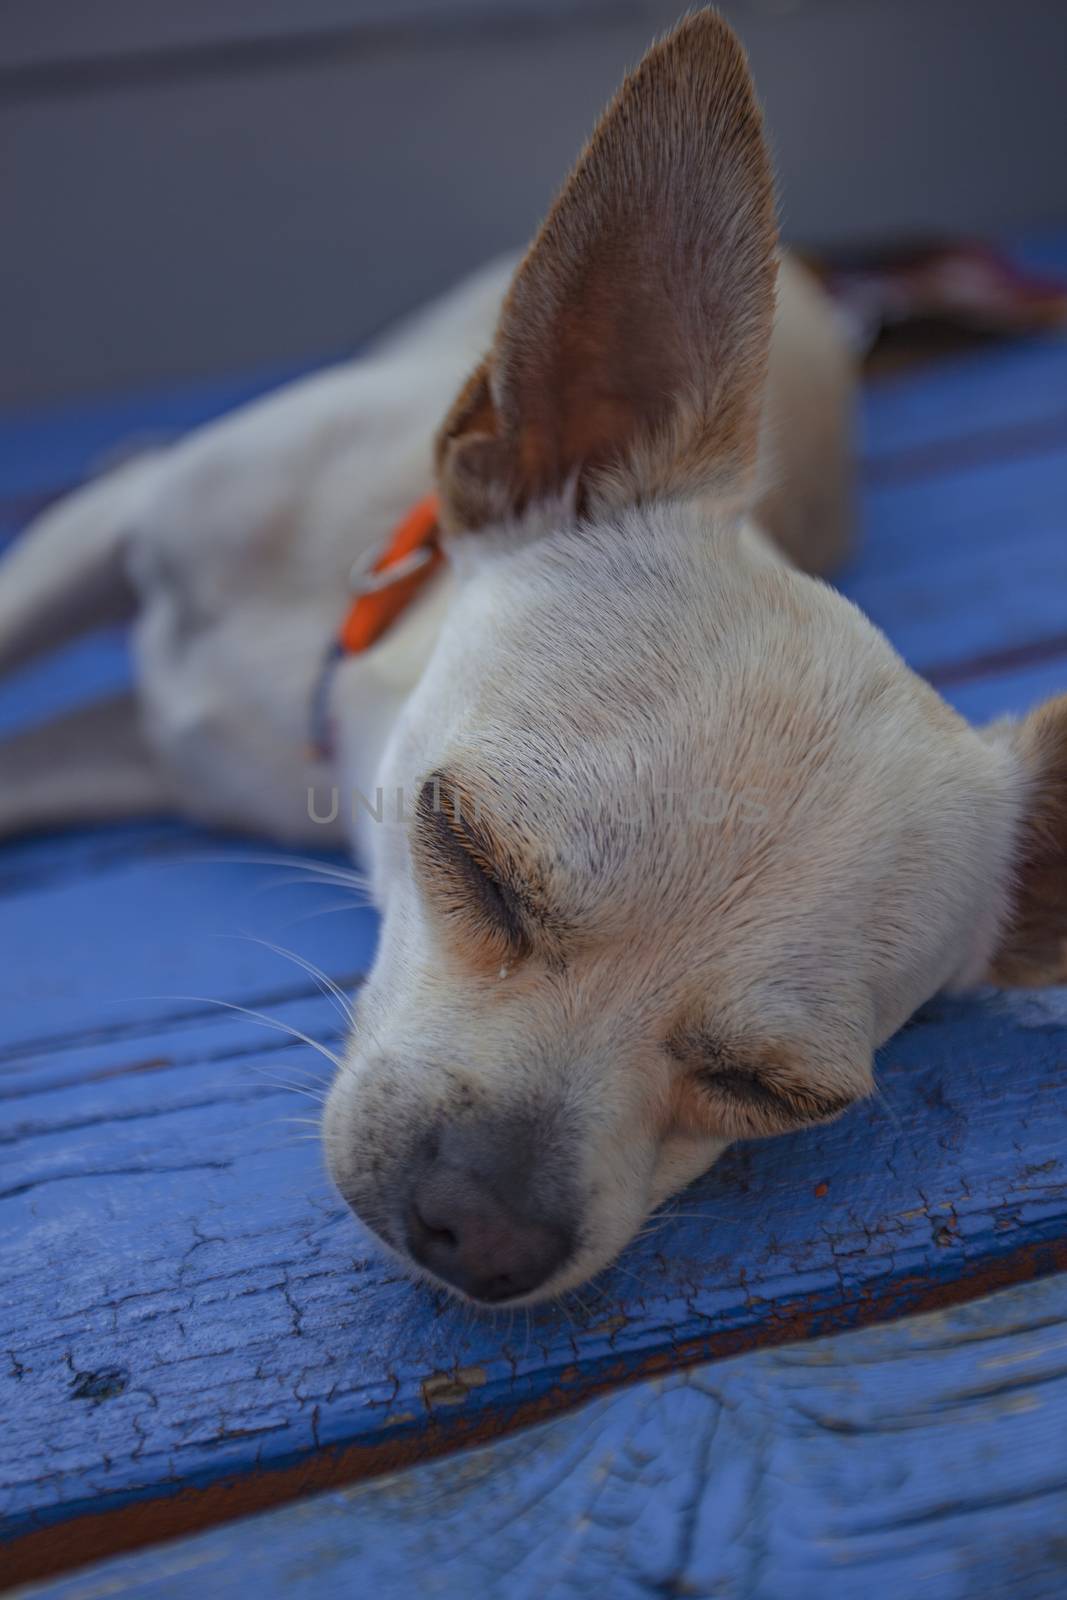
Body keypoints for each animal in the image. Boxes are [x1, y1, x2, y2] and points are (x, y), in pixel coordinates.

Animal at [2, 12, 1067, 1305]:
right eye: (469, 853)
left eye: (769, 1093)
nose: (484, 1222)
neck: (322, 653)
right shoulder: (104, 538)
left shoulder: (136, 757)